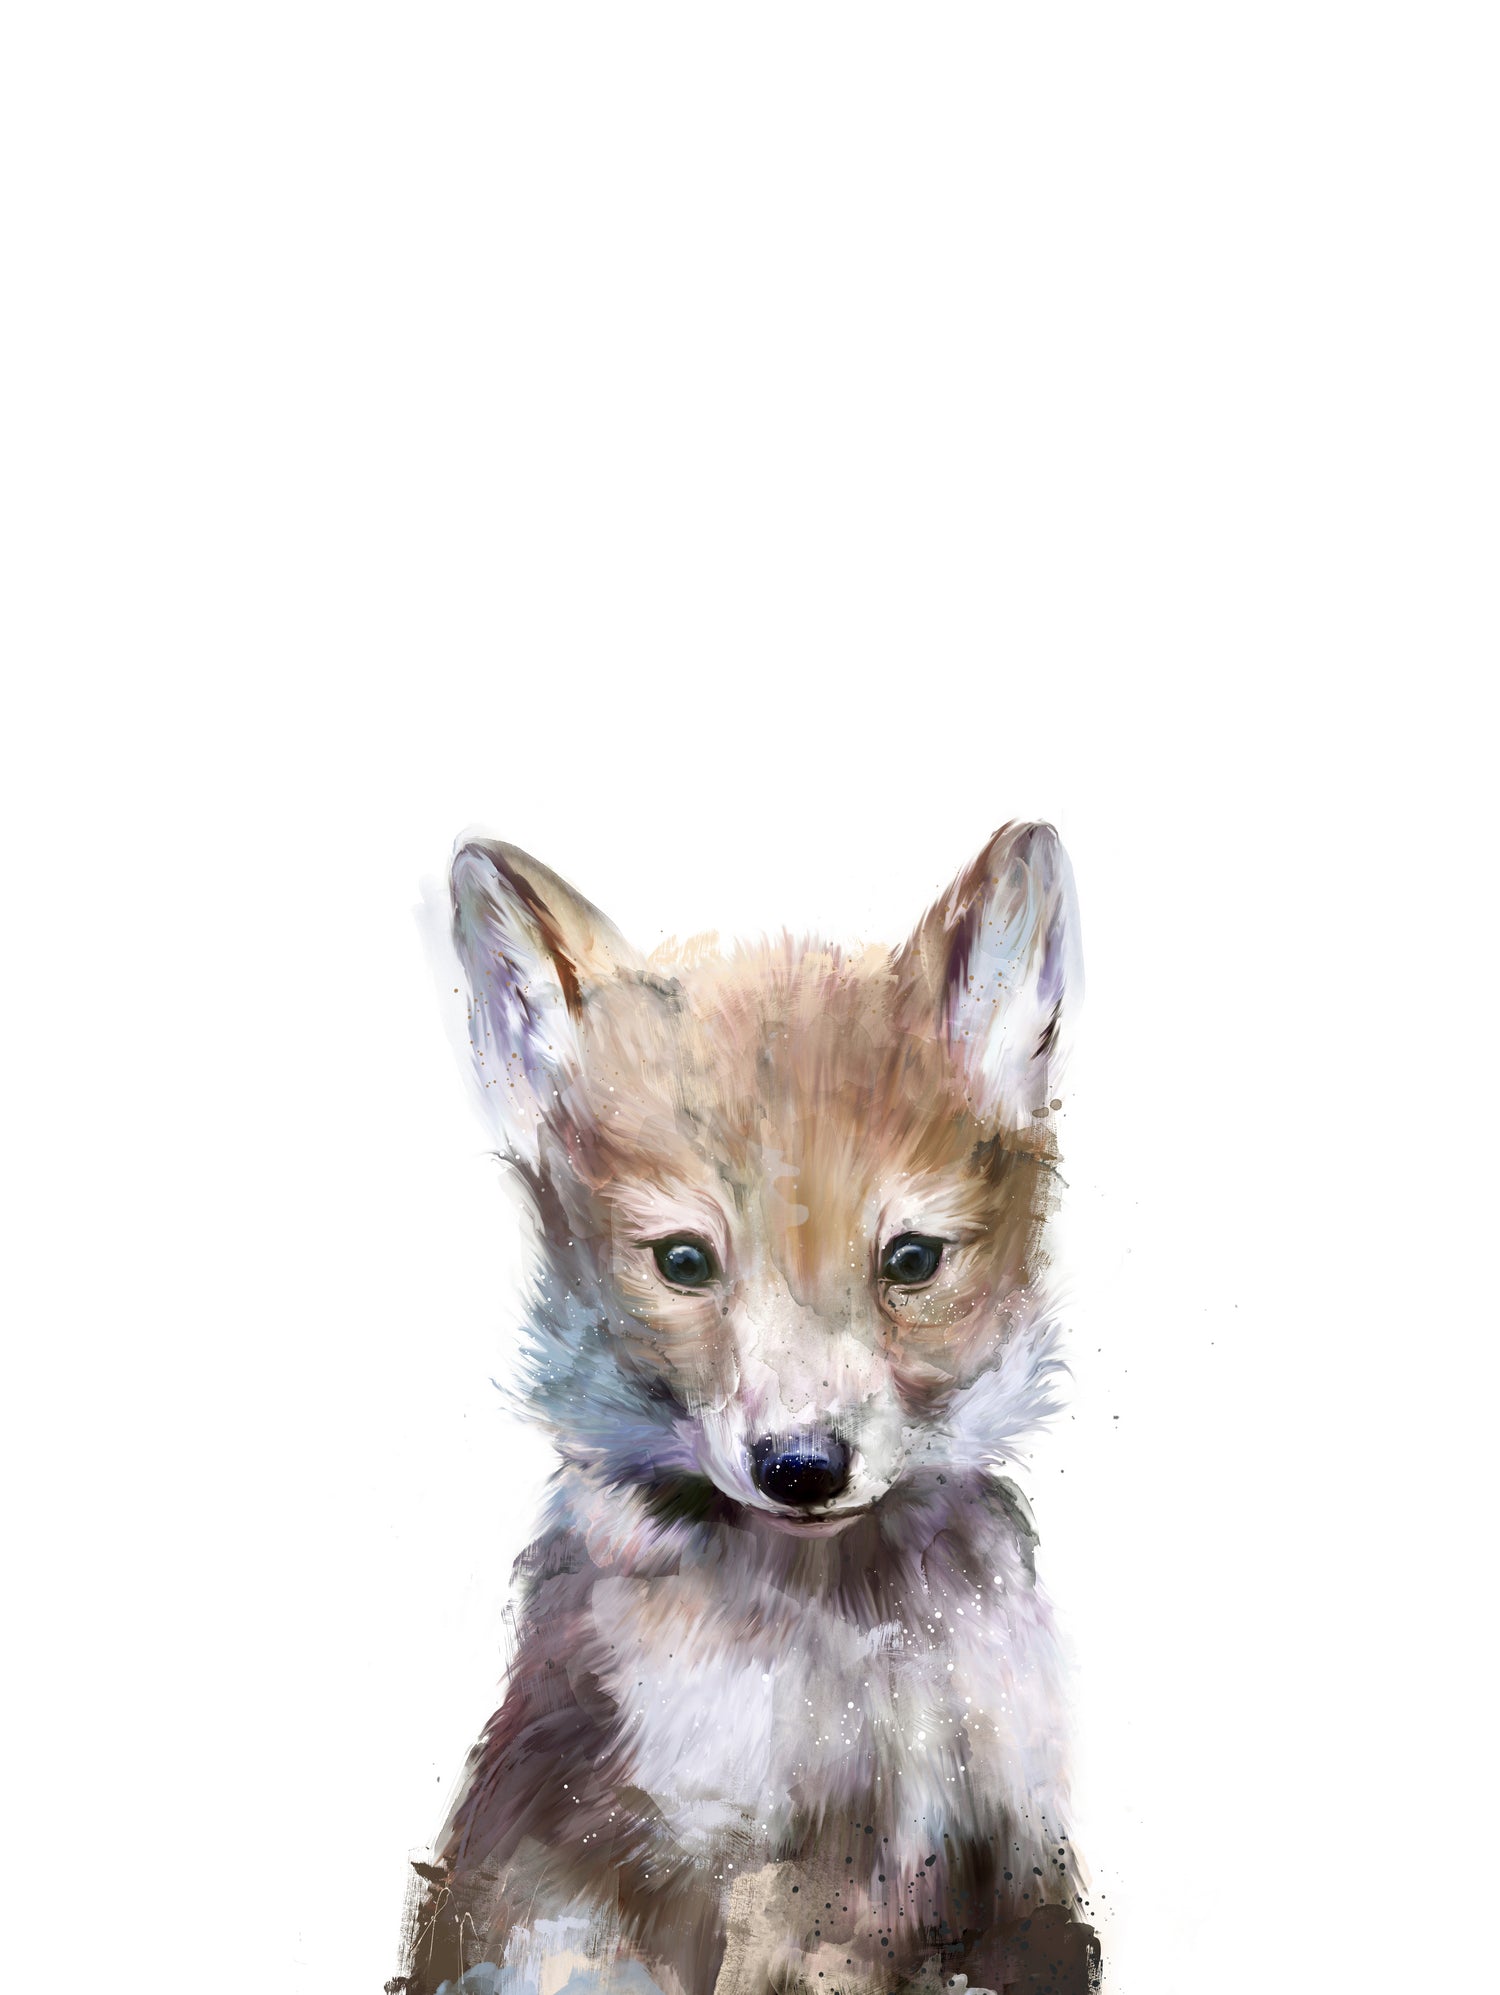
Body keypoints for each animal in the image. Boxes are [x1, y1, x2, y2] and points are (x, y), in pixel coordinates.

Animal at [394, 823, 1100, 1994]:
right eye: (684, 1261)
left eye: (912, 1260)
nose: (802, 1467)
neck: (845, 1650)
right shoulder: (716, 1868)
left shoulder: (1010, 1860)